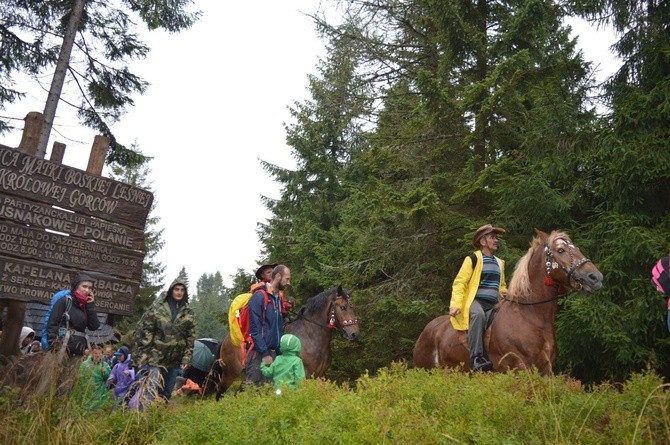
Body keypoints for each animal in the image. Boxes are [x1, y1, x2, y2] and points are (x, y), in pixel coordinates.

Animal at [211, 286, 360, 398]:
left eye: (352, 307)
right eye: (343, 307)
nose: (354, 333)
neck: (311, 336)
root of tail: (225, 341)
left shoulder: (320, 375)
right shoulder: (304, 375)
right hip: (229, 375)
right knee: (220, 395)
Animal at [412, 227, 608, 372]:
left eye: (577, 248)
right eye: (561, 250)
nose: (595, 277)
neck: (530, 316)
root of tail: (424, 332)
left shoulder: (545, 368)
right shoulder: (519, 367)